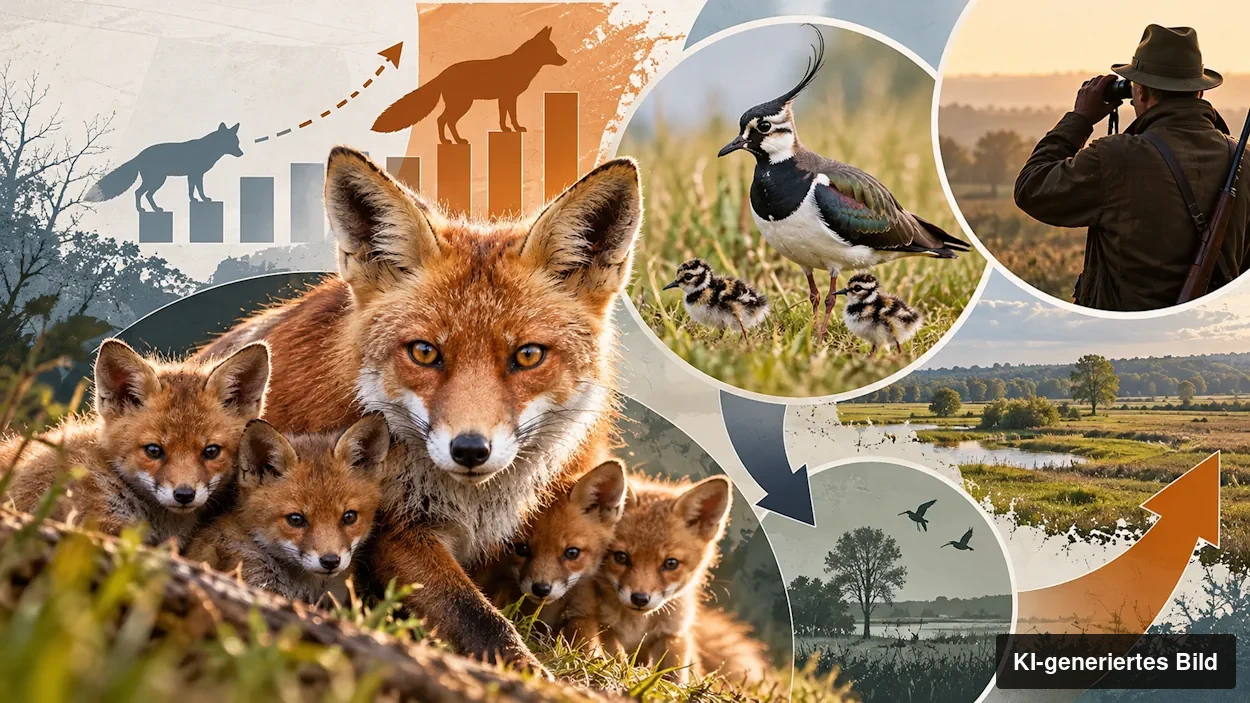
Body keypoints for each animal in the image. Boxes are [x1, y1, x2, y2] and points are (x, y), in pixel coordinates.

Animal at [84, 122, 243, 212]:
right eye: (233, 143)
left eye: (237, 142)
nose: (242, 153)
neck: (208, 149)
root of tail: (139, 155)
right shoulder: (197, 174)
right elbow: (200, 189)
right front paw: (204, 199)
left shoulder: (192, 175)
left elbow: (191, 191)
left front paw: (194, 200)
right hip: (158, 180)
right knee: (140, 193)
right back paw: (146, 210)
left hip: (156, 181)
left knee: (142, 193)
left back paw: (151, 209)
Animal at [372, 26, 567, 143]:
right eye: (553, 51)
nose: (565, 61)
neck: (522, 65)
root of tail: (442, 74)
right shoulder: (509, 97)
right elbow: (512, 116)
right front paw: (515, 128)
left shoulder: (504, 99)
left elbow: (503, 117)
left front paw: (507, 130)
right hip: (462, 105)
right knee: (443, 120)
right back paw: (453, 141)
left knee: (444, 121)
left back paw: (450, 141)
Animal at [562, 474, 766, 683]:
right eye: (621, 557)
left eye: (671, 563)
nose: (640, 599)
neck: (635, 626)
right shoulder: (602, 624)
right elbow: (615, 656)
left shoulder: (672, 634)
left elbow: (675, 675)